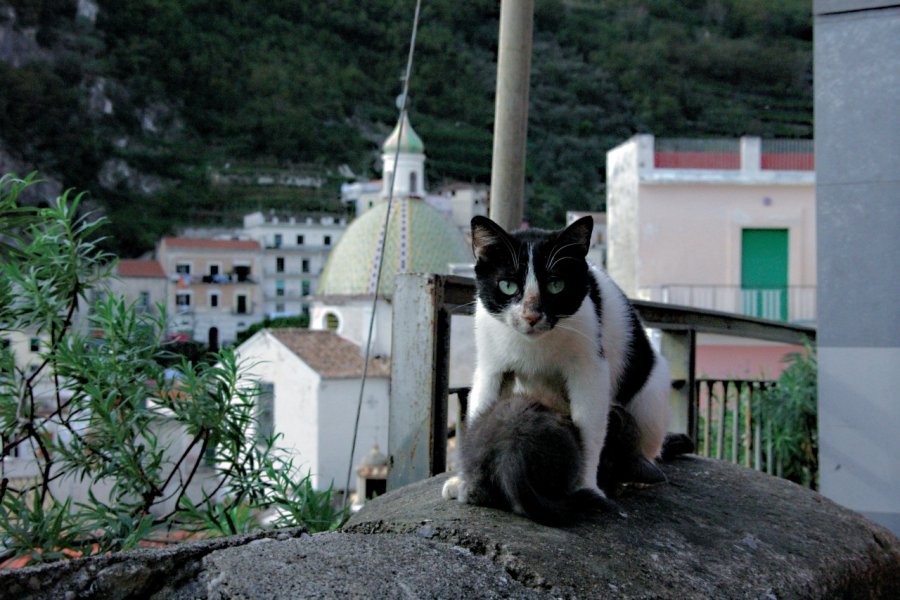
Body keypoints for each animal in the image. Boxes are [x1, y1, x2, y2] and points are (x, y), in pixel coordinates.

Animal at [442, 214, 668, 502]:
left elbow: (589, 428)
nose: (531, 315)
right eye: (507, 285)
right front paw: (463, 480)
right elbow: (480, 410)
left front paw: (586, 486)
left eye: (556, 285)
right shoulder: (491, 367)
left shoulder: (590, 369)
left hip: (650, 402)